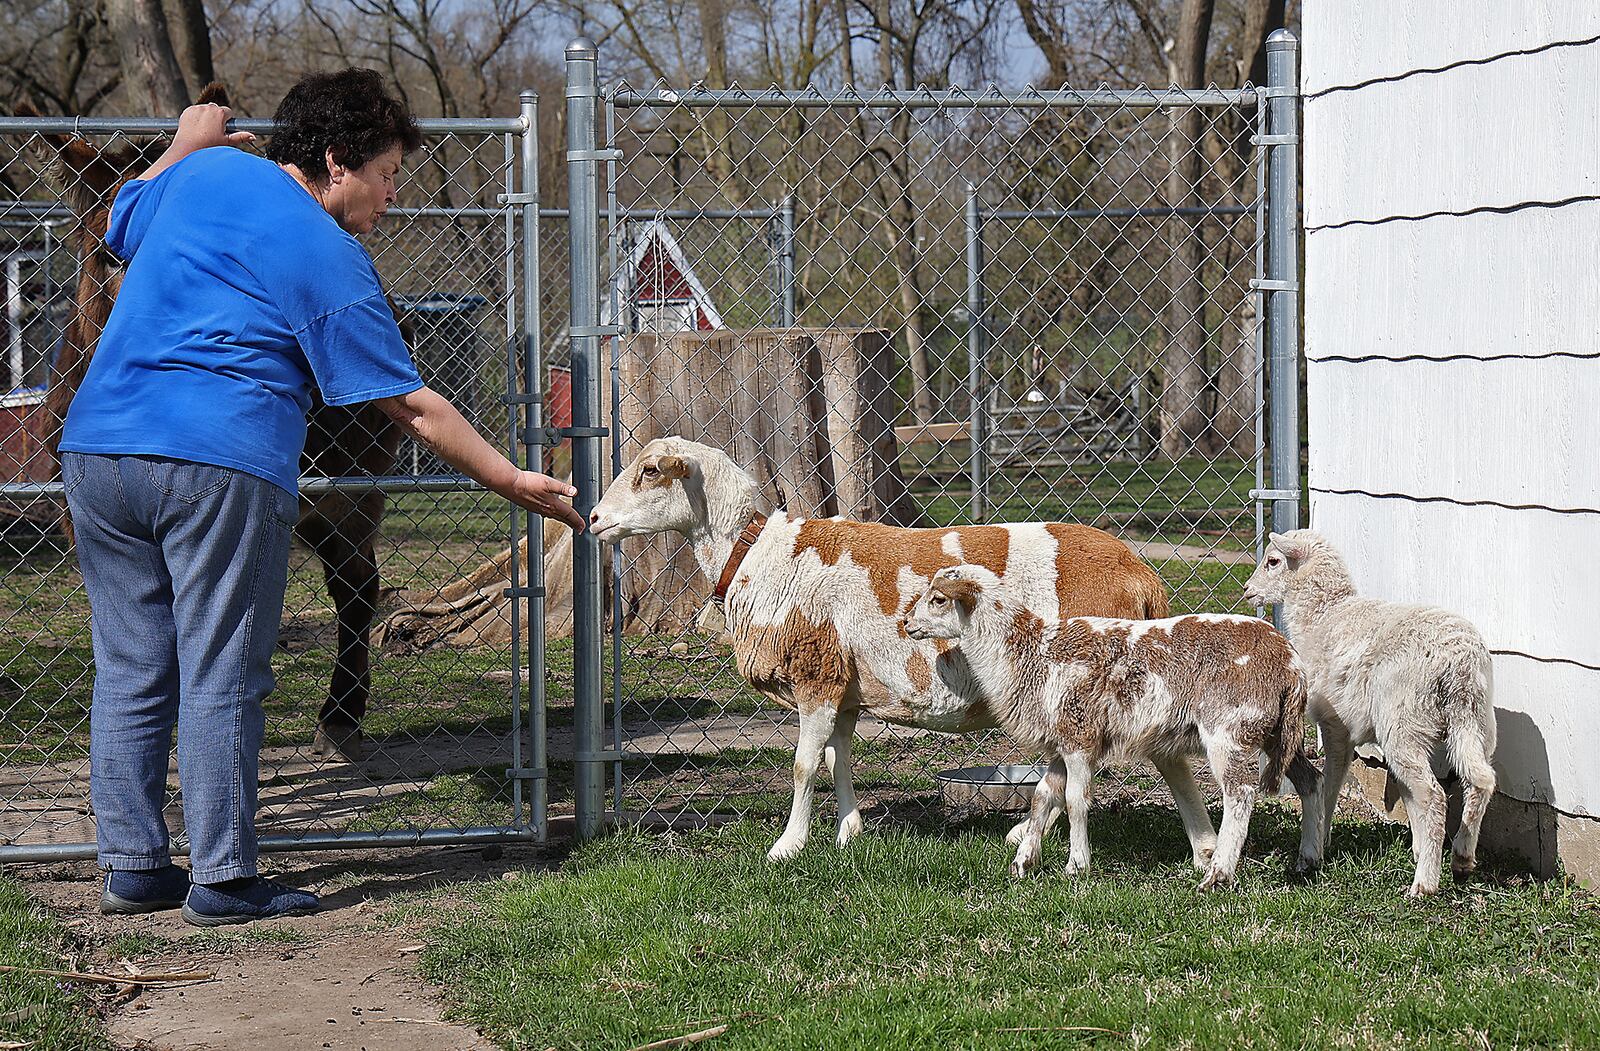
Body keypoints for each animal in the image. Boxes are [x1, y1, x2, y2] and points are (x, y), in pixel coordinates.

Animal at [585, 435, 1209, 863]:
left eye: (649, 471)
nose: (592, 518)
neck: (755, 553)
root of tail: (1141, 575)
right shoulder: (843, 684)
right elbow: (836, 757)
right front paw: (847, 832)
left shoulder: (815, 674)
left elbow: (803, 765)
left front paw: (788, 845)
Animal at [908, 566, 1318, 883]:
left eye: (939, 599)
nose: (908, 624)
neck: (1029, 651)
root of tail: (1290, 660)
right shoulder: (1062, 742)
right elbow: (1043, 796)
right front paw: (1024, 861)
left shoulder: (1079, 736)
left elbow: (1075, 800)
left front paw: (1077, 865)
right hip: (1279, 732)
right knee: (1311, 781)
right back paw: (1308, 860)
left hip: (1230, 729)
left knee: (1240, 794)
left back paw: (1218, 875)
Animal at [1241, 524, 1491, 895]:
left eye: (1273, 561)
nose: (1247, 590)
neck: (1324, 615)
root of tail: (1457, 660)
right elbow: (1405, 792)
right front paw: (1419, 848)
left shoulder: (1335, 725)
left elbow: (1331, 782)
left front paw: (1321, 839)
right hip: (1471, 720)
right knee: (1480, 779)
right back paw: (1461, 858)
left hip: (1405, 722)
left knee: (1434, 796)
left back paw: (1424, 885)